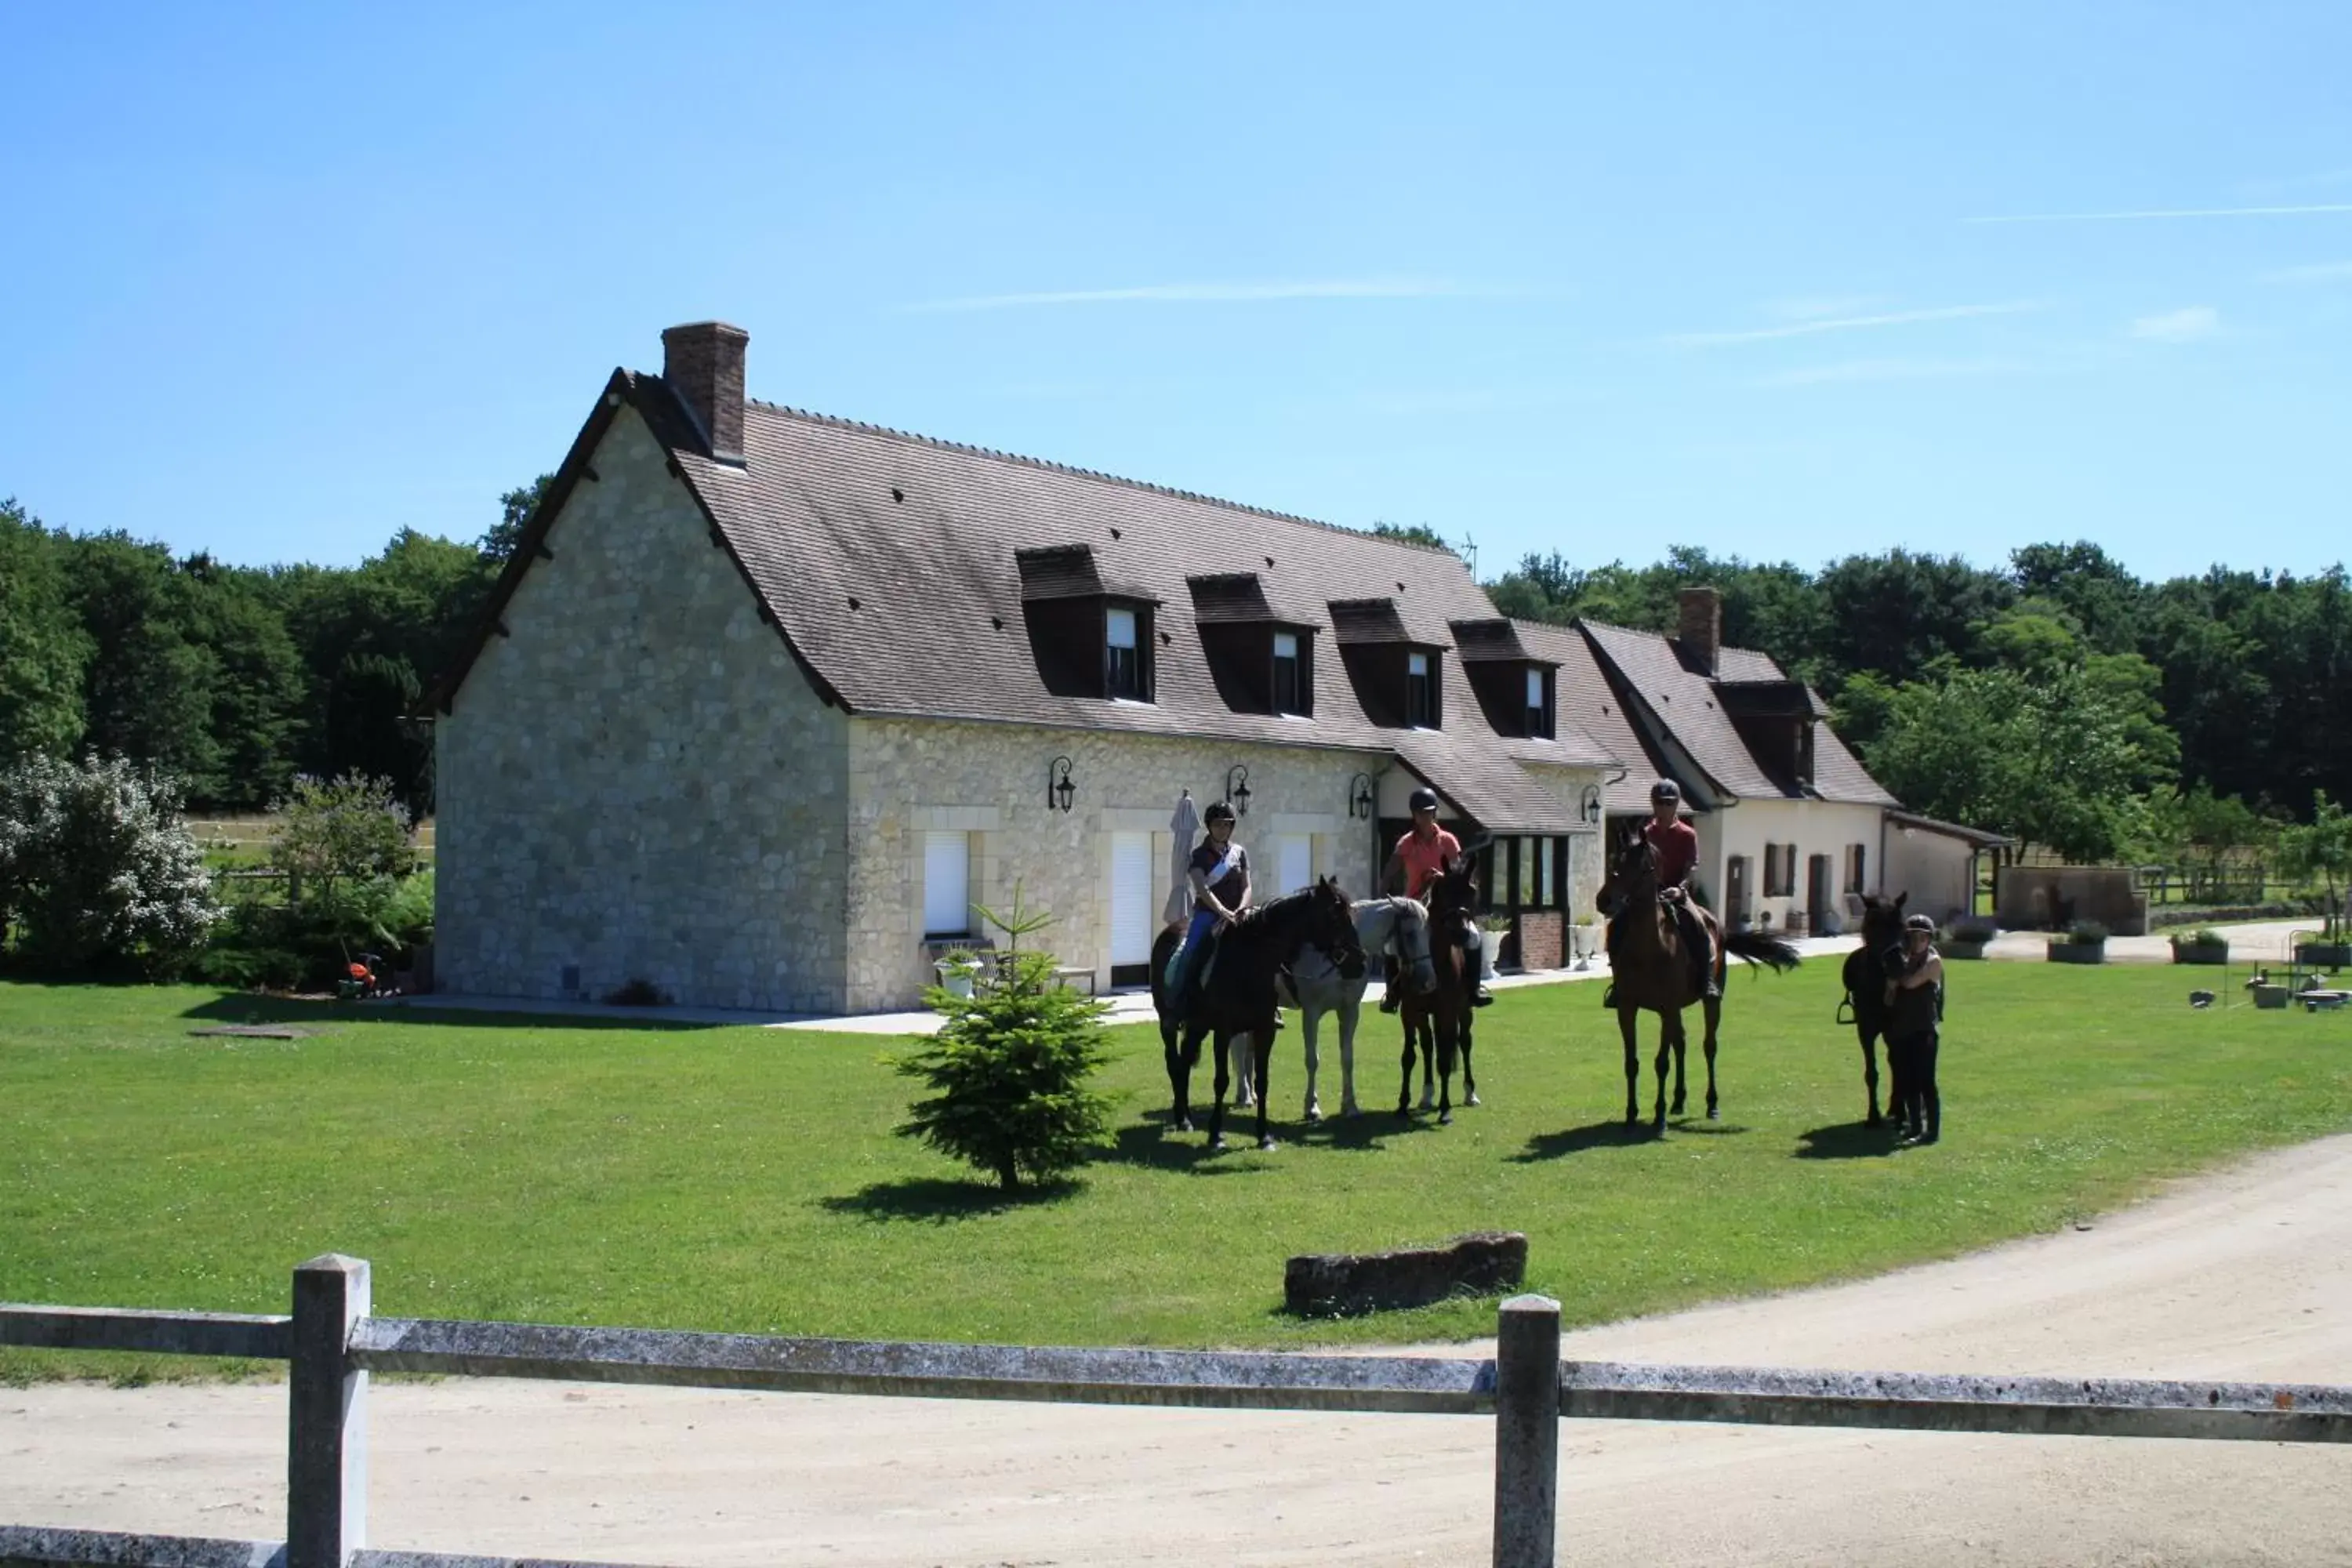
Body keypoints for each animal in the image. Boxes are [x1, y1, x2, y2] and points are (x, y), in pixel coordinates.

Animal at [1152, 884, 1374, 1152]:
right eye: (1334, 915)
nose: (1359, 963)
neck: (1249, 964)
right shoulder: (1223, 1032)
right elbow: (1221, 1081)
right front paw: (1216, 1135)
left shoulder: (1265, 1031)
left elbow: (1263, 1081)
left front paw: (1264, 1136)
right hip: (1169, 1024)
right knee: (1174, 1063)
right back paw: (1183, 1119)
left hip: (1198, 1026)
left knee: (1184, 1062)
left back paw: (1185, 1118)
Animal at [1599, 822, 1797, 1128]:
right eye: (1613, 861)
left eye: (1641, 866)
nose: (1604, 901)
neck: (1648, 948)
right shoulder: (1628, 1008)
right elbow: (1632, 1062)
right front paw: (1632, 1115)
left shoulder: (1667, 1007)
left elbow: (1661, 1063)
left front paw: (1658, 1118)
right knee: (1681, 1043)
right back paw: (1678, 1101)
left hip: (1710, 1002)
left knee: (1709, 1046)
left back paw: (1711, 1105)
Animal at [1835, 893, 1910, 1128]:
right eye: (1872, 925)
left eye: (1901, 924)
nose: (1896, 964)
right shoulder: (1865, 1030)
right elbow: (1872, 1073)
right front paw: (1873, 1116)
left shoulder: (1896, 1030)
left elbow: (1899, 1067)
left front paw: (1900, 1113)